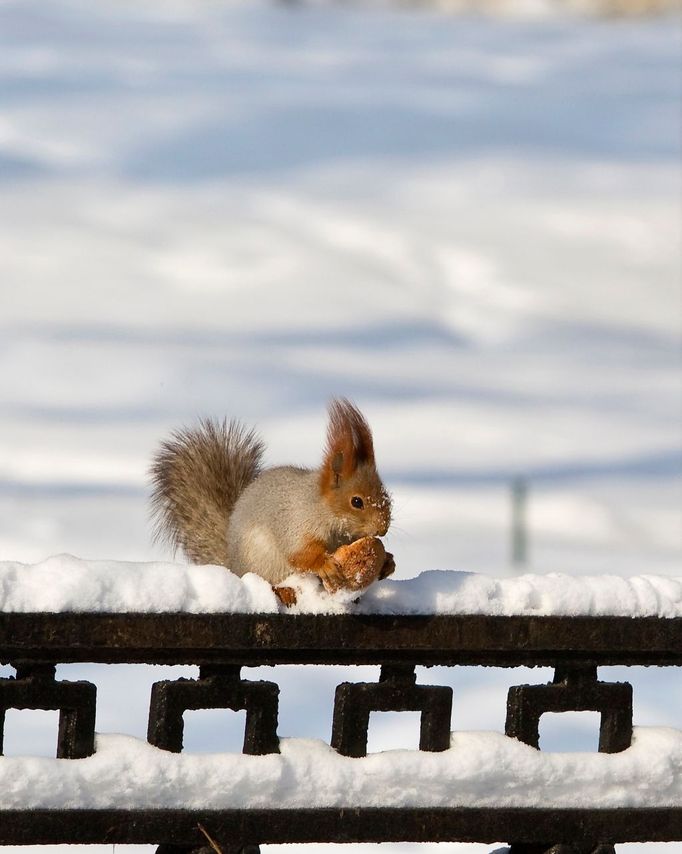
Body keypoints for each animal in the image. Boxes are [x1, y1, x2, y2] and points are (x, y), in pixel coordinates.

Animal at [149, 398, 394, 600]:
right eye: (356, 502)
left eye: (386, 495)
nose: (382, 529)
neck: (321, 508)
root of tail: (234, 566)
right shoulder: (295, 523)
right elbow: (300, 553)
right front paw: (325, 564)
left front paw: (387, 562)